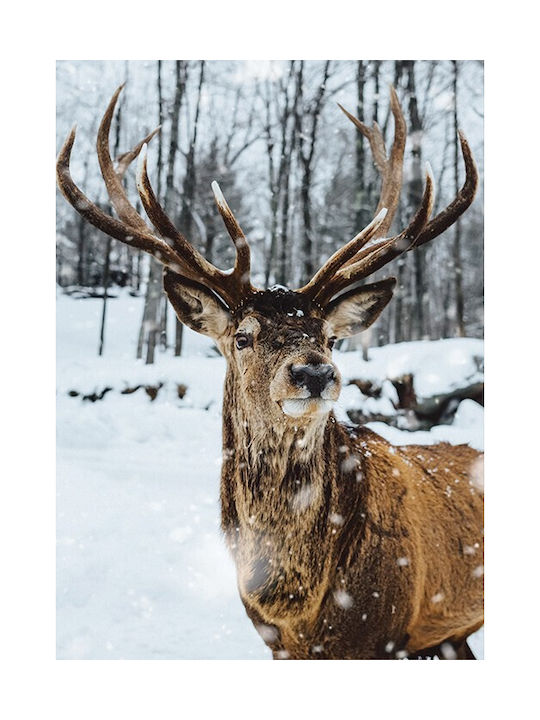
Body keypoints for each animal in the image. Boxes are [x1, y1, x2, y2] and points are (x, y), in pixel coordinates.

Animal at [57, 84, 483, 660]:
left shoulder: (387, 634)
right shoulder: (275, 642)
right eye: (242, 336)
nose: (315, 372)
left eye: (329, 336)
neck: (298, 607)